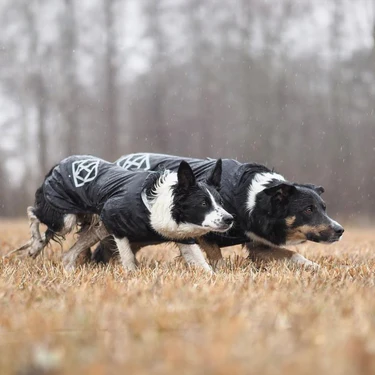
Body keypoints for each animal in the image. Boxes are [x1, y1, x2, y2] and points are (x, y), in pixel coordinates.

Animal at [12, 156, 235, 274]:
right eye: (203, 203)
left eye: (220, 202)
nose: (229, 219)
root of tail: (58, 164)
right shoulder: (115, 223)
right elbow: (127, 258)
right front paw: (132, 276)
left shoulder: (183, 239)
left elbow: (202, 264)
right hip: (65, 218)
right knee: (32, 212)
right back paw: (35, 245)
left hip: (97, 229)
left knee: (68, 254)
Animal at [92, 153, 346, 270]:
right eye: (308, 209)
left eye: (323, 207)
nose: (340, 230)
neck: (253, 200)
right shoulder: (206, 232)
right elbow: (215, 257)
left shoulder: (258, 245)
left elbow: (294, 255)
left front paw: (317, 269)